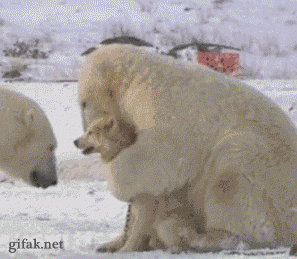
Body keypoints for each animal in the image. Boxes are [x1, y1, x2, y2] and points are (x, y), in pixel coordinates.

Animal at [74, 44, 297, 254]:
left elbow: (161, 153)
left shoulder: (159, 105)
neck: (135, 79)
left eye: (83, 103)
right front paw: (109, 243)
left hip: (262, 168)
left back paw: (203, 237)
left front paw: (117, 180)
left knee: (230, 182)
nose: (79, 137)